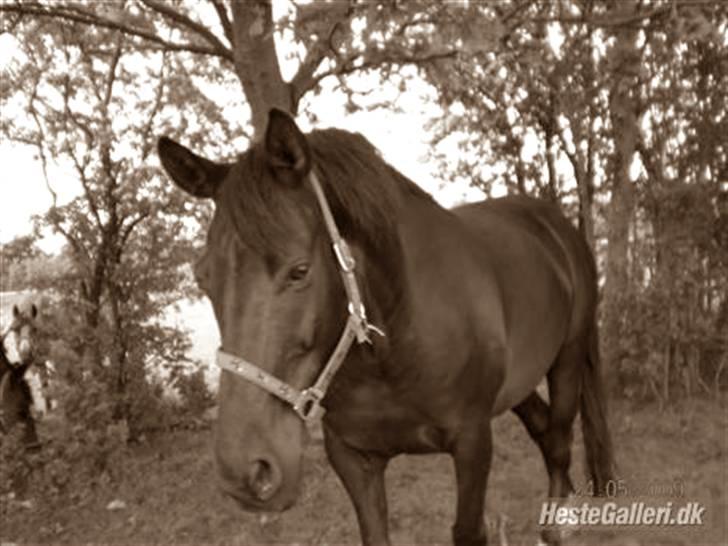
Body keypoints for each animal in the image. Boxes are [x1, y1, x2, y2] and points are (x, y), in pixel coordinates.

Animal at [158, 108, 616, 540]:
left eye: (299, 270)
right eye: (202, 277)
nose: (247, 472)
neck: (394, 347)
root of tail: (556, 226)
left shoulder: (472, 442)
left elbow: (468, 530)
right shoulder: (352, 457)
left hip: (567, 358)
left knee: (559, 439)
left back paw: (558, 524)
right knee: (543, 428)